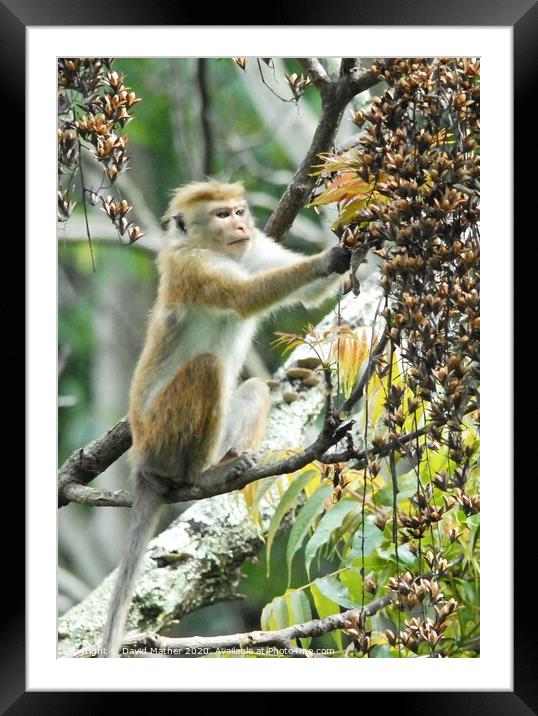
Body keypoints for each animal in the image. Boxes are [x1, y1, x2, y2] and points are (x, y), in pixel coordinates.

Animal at [100, 179, 350, 656]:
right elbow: (244, 297)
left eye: (238, 211)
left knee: (253, 389)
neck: (213, 248)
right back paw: (203, 476)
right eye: (220, 215)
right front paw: (330, 258)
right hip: (163, 434)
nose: (239, 224)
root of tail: (141, 463)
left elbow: (309, 293)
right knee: (207, 367)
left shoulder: (254, 249)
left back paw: (234, 461)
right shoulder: (193, 268)